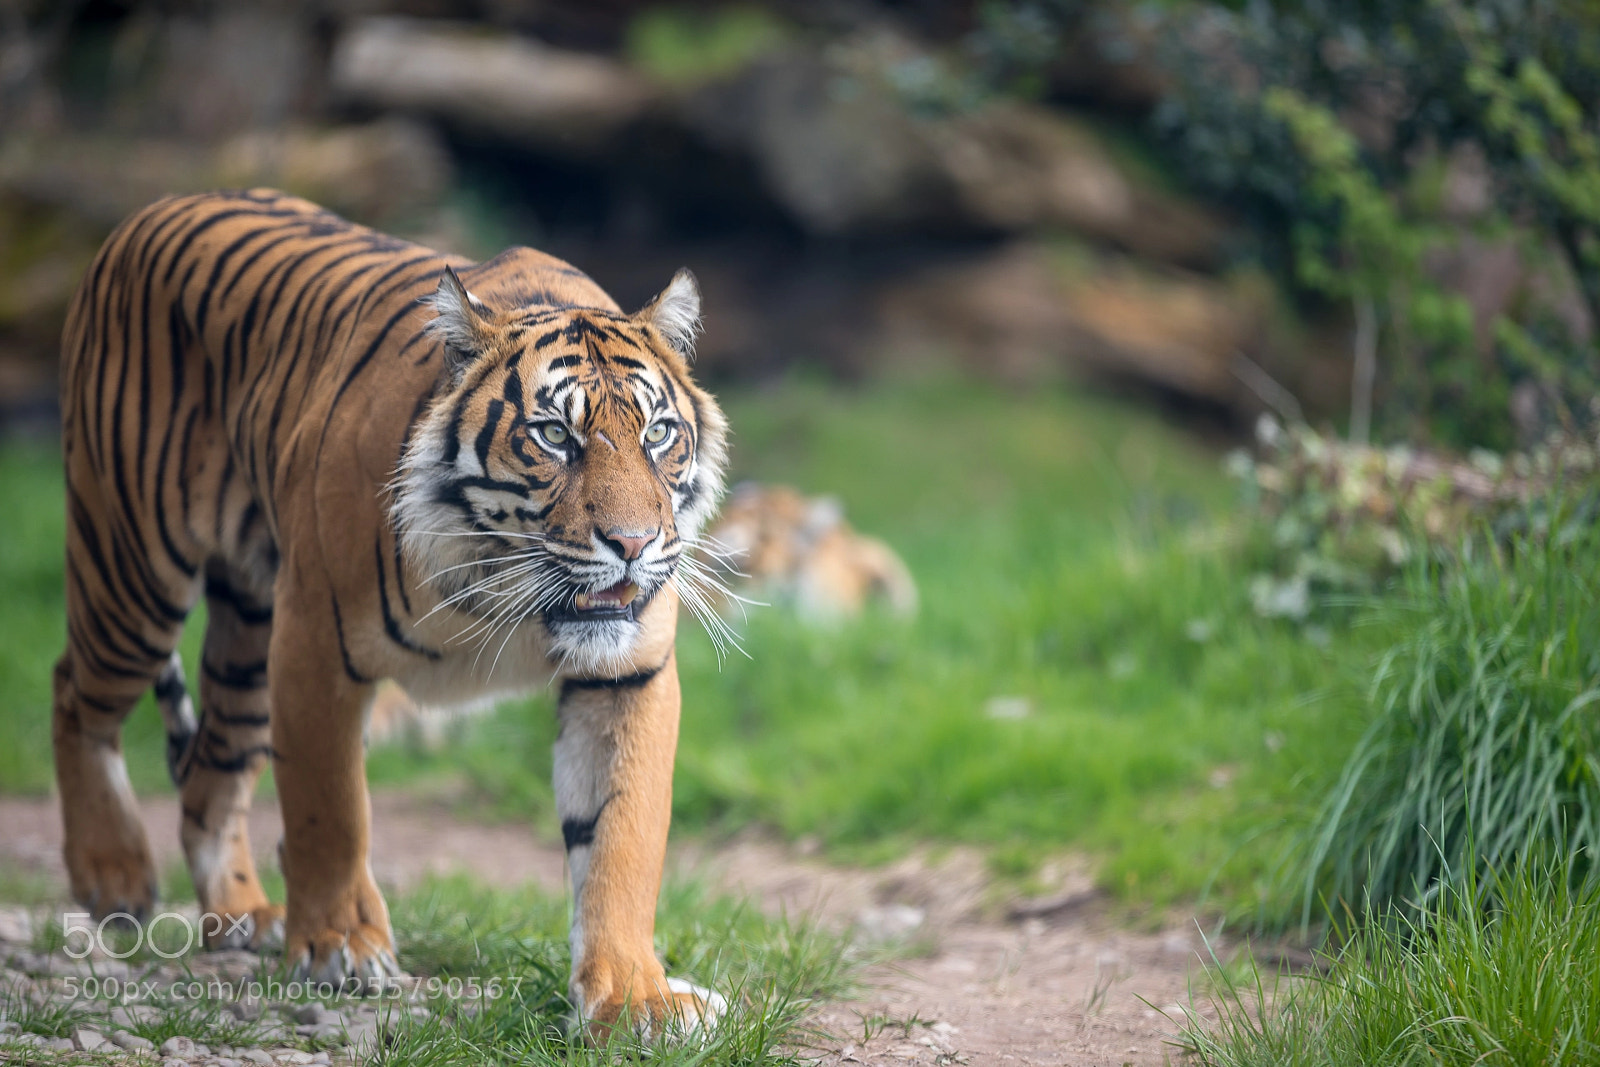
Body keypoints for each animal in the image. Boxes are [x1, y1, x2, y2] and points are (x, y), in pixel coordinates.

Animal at [53, 189, 729, 1039]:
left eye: (659, 432)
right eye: (553, 436)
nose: (634, 545)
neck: (504, 585)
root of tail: (154, 209)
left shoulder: (626, 673)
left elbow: (621, 839)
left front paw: (636, 998)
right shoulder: (315, 644)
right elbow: (331, 808)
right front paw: (340, 947)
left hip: (246, 631)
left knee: (212, 766)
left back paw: (243, 914)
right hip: (134, 565)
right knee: (74, 694)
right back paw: (112, 875)